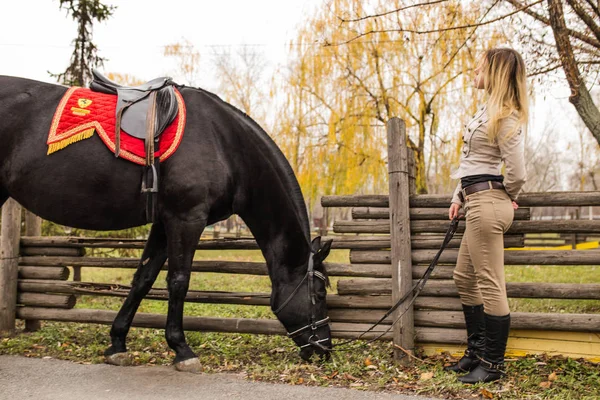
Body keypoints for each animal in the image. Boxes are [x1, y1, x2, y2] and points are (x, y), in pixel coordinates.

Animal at [0, 76, 332, 372]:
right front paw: (181, 349)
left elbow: (143, 278)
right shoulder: (187, 218)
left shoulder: (163, 222)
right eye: (319, 293)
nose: (325, 349)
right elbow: (178, 280)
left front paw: (117, 342)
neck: (225, 144)